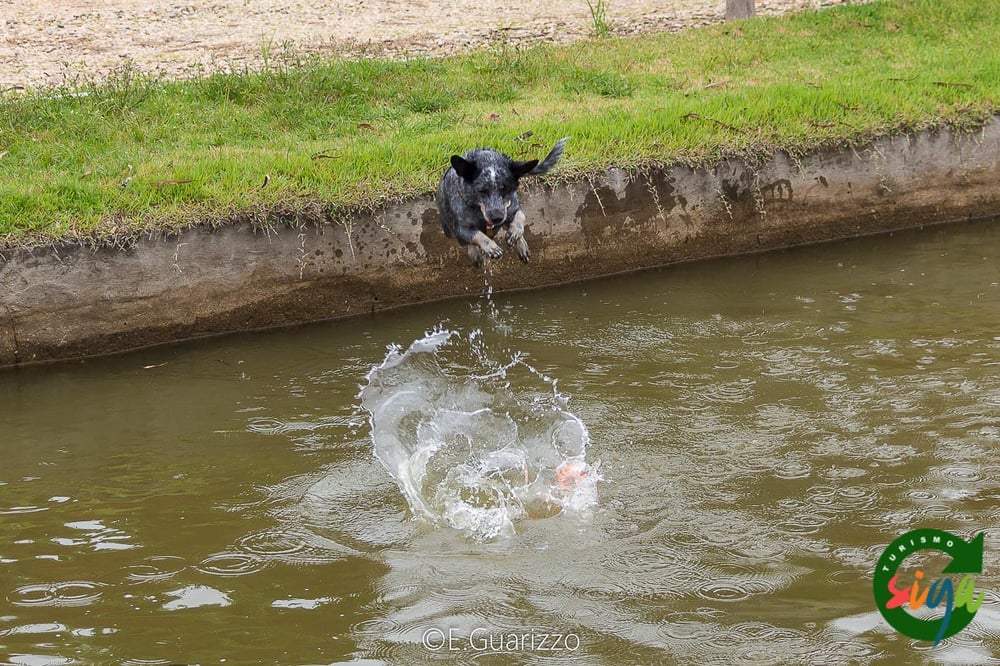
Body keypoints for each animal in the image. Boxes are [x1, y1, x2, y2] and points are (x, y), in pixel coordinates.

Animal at [436, 137, 568, 264]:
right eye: (481, 190)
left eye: (505, 188)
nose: (497, 218)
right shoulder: (461, 229)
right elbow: (477, 235)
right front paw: (491, 248)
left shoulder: (511, 208)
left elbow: (520, 216)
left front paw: (515, 233)